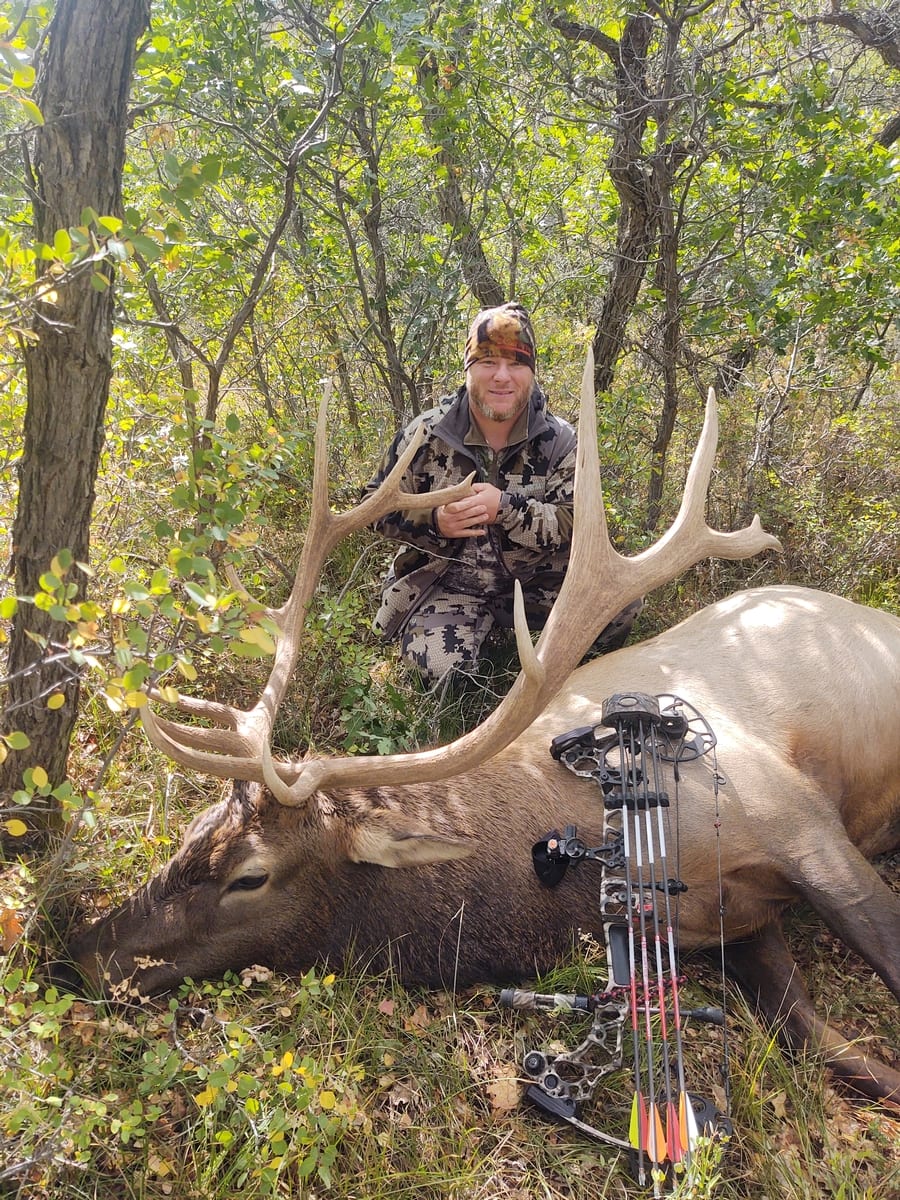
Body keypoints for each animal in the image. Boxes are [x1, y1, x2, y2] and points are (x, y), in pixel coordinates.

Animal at [68, 352, 900, 1105]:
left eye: (250, 875)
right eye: (188, 834)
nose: (79, 953)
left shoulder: (798, 821)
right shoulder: (736, 922)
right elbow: (825, 1042)